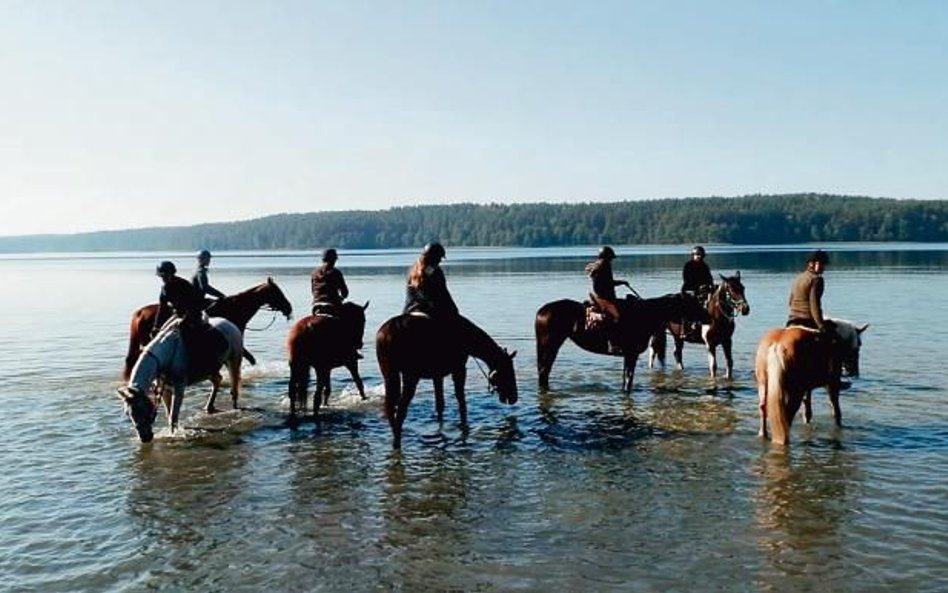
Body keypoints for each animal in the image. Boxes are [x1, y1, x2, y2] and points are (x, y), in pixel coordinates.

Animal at [116, 316, 244, 442]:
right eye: (128, 413)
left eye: (143, 409)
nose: (145, 438)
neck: (165, 354)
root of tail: (230, 324)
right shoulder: (165, 390)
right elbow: (169, 414)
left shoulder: (179, 389)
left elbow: (173, 416)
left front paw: (173, 435)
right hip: (209, 370)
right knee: (217, 380)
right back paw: (209, 407)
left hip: (233, 361)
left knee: (234, 387)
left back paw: (235, 408)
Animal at [123, 276, 292, 380]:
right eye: (277, 292)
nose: (289, 308)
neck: (235, 308)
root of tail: (139, 313)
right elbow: (249, 358)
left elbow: (250, 359)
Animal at [374, 314, 520, 448]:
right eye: (508, 371)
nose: (514, 398)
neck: (470, 342)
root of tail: (384, 336)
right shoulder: (459, 369)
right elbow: (461, 402)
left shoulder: (437, 375)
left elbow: (440, 404)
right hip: (410, 376)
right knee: (401, 409)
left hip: (389, 374)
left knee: (391, 406)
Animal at [536, 292, 708, 394]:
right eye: (693, 303)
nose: (708, 316)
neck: (644, 314)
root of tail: (542, 311)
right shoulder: (631, 354)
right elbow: (629, 378)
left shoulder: (628, 356)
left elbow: (626, 377)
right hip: (550, 346)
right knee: (544, 370)